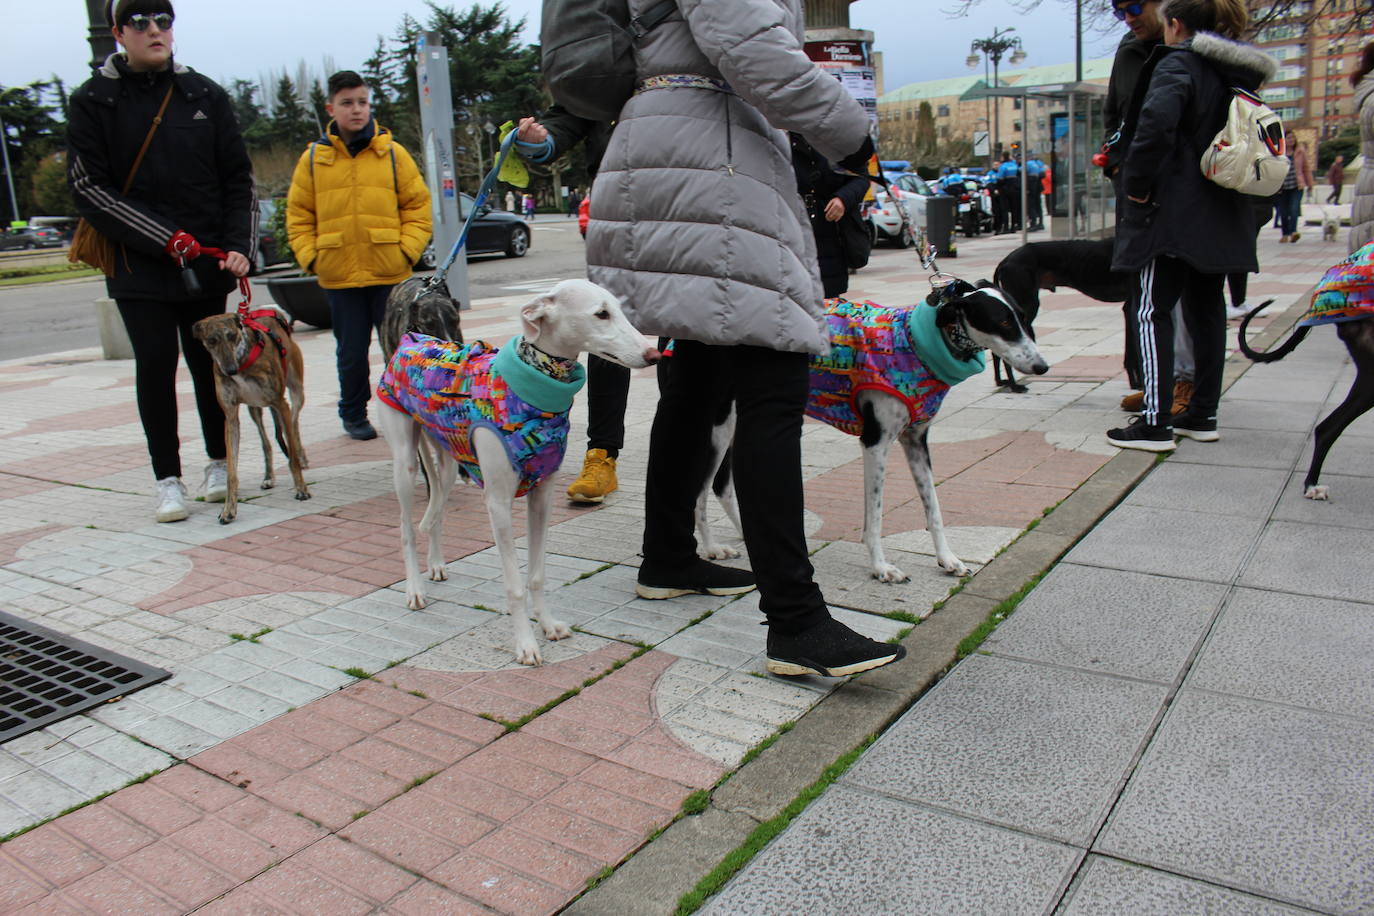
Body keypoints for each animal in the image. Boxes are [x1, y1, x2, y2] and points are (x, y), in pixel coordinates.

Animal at [192, 307, 310, 521]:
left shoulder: (280, 403)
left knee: (294, 425)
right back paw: (268, 476)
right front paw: (228, 510)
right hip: (254, 408)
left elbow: (292, 459)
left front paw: (301, 489)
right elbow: (231, 471)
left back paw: (301, 455)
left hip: (296, 392)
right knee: (266, 442)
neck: (242, 362)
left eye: (232, 335)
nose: (230, 370)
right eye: (211, 340)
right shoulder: (231, 416)